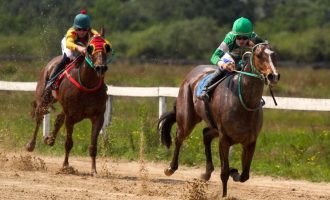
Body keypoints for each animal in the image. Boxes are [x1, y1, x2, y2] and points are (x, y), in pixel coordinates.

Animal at [24, 28, 112, 176]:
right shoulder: (70, 117)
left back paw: (50, 139)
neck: (87, 84)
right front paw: (65, 166)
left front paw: (94, 170)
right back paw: (31, 144)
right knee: (39, 116)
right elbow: (69, 143)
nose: (100, 67)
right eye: (90, 48)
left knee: (59, 118)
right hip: (44, 97)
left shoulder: (98, 116)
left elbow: (93, 145)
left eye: (107, 47)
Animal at [157, 41, 278, 196]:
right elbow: (224, 172)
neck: (244, 103)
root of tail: (191, 74)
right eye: (258, 55)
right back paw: (171, 168)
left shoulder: (250, 141)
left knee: (206, 134)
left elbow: (244, 175)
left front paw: (234, 171)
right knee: (179, 137)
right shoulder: (224, 139)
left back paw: (206, 173)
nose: (273, 76)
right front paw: (224, 194)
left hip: (213, 126)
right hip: (187, 119)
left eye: (273, 54)